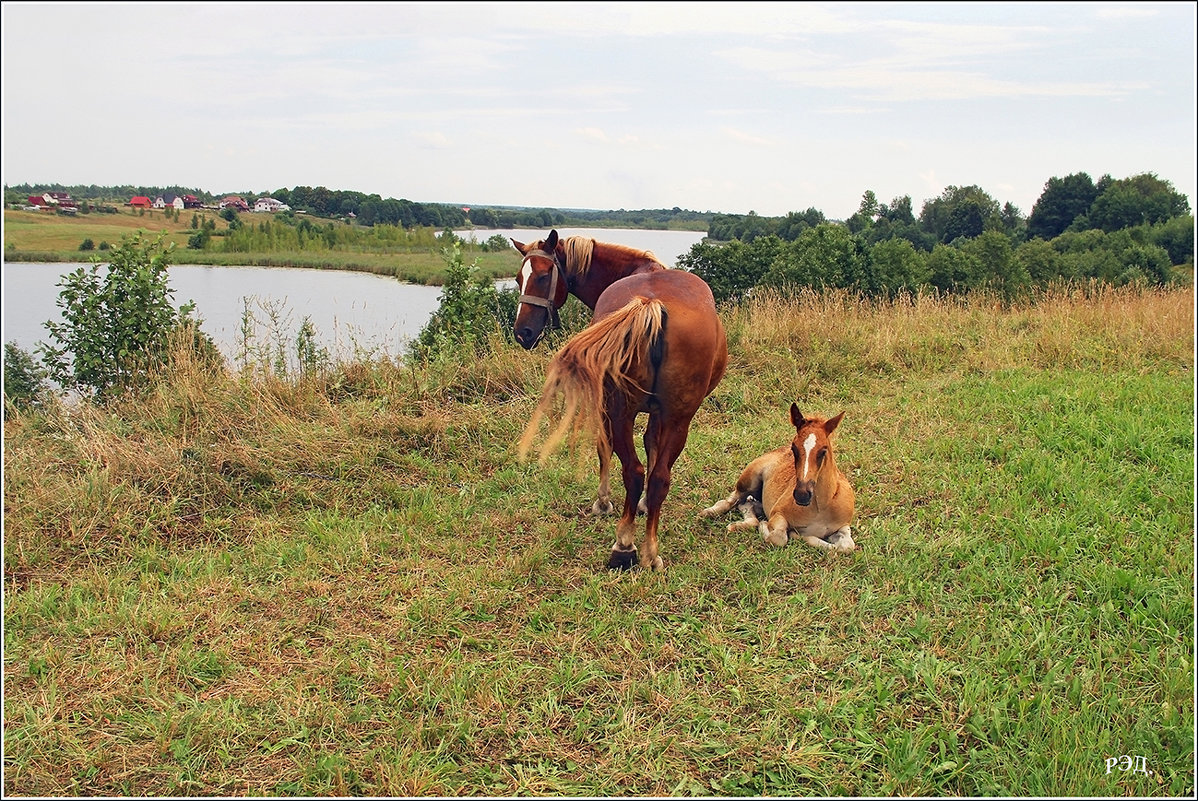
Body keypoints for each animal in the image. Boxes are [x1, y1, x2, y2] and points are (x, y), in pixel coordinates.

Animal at [510, 227, 723, 572]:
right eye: (519, 278)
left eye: (543, 276)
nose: (523, 333)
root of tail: (650, 303)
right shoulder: (658, 413)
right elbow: (652, 447)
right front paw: (644, 504)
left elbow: (604, 448)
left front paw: (603, 501)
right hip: (677, 417)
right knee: (658, 476)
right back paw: (649, 548)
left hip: (618, 410)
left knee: (632, 471)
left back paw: (624, 544)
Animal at [699, 402, 857, 553]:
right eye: (794, 448)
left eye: (823, 451)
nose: (802, 495)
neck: (821, 507)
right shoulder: (778, 514)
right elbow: (777, 537)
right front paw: (772, 528)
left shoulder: (843, 525)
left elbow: (847, 546)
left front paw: (796, 534)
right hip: (749, 479)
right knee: (731, 500)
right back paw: (709, 513)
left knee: (746, 504)